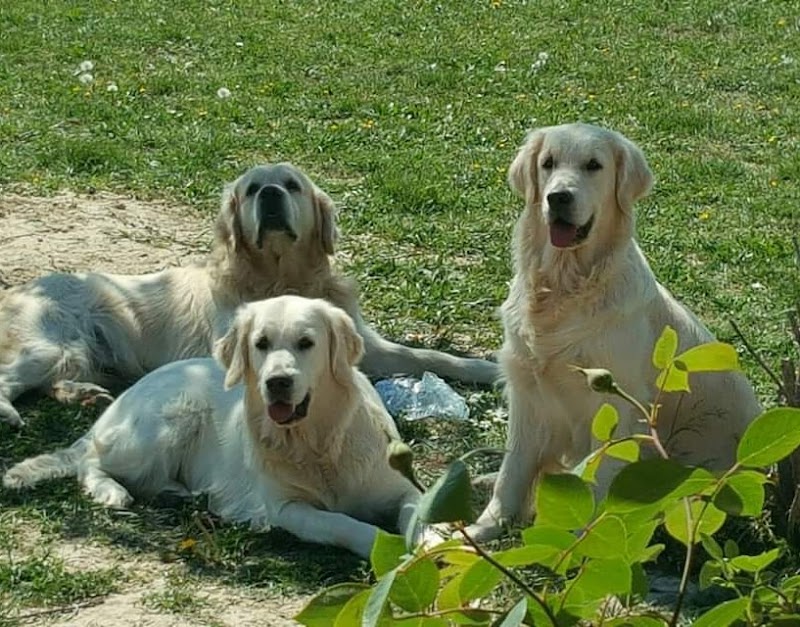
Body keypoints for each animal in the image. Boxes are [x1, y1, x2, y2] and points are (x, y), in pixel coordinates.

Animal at [0, 163, 497, 426]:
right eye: (252, 188)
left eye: (292, 184)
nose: (272, 194)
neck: (282, 277)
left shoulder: (368, 344)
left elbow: (430, 356)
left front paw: (487, 368)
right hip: (49, 344)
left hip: (74, 354)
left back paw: (83, 394)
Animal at [3, 295, 434, 558]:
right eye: (261, 343)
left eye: (306, 343)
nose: (277, 382)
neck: (319, 442)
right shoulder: (287, 509)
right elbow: (342, 523)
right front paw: (384, 546)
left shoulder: (404, 488)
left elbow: (421, 516)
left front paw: (433, 546)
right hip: (171, 419)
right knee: (91, 461)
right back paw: (113, 491)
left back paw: (175, 493)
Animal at [466, 123, 762, 541]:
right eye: (548, 163)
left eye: (594, 165)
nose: (558, 197)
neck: (564, 286)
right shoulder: (526, 391)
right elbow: (514, 470)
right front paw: (482, 527)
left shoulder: (619, 407)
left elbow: (591, 474)